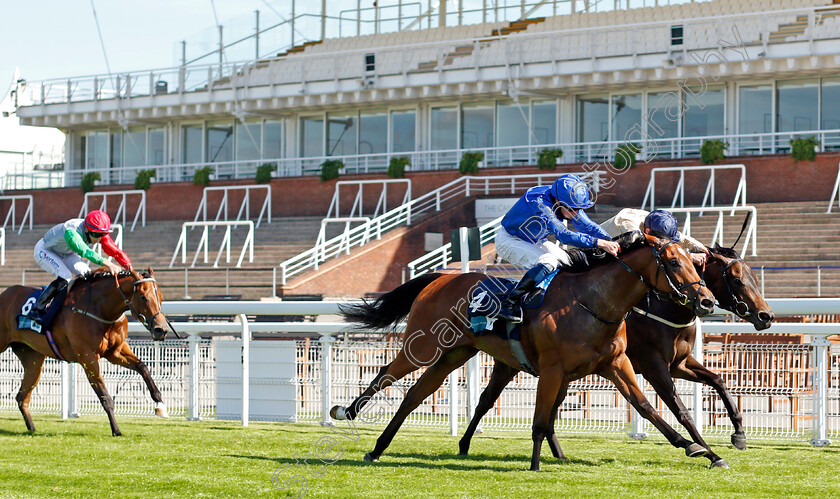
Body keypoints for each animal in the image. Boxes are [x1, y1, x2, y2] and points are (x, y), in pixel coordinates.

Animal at [0, 268, 174, 436]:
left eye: (161, 297)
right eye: (143, 297)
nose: (162, 330)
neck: (100, 309)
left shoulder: (115, 352)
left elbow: (142, 367)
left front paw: (160, 404)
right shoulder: (87, 357)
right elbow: (105, 397)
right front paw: (116, 431)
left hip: (32, 359)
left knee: (22, 397)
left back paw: (32, 429)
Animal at [334, 232, 716, 470]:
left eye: (695, 262)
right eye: (673, 262)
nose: (707, 300)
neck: (592, 302)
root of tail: (440, 277)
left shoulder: (616, 363)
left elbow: (647, 407)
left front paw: (699, 449)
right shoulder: (552, 370)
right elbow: (539, 421)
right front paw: (534, 465)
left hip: (455, 353)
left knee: (415, 393)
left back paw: (378, 448)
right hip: (425, 345)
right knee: (385, 376)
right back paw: (346, 412)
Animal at [460, 244, 776, 470]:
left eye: (754, 277)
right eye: (737, 280)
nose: (766, 316)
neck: (663, 309)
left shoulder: (680, 363)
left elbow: (719, 381)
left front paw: (738, 434)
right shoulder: (654, 366)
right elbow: (680, 410)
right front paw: (709, 452)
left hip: (562, 373)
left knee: (549, 412)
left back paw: (558, 455)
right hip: (510, 365)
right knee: (486, 401)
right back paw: (464, 444)